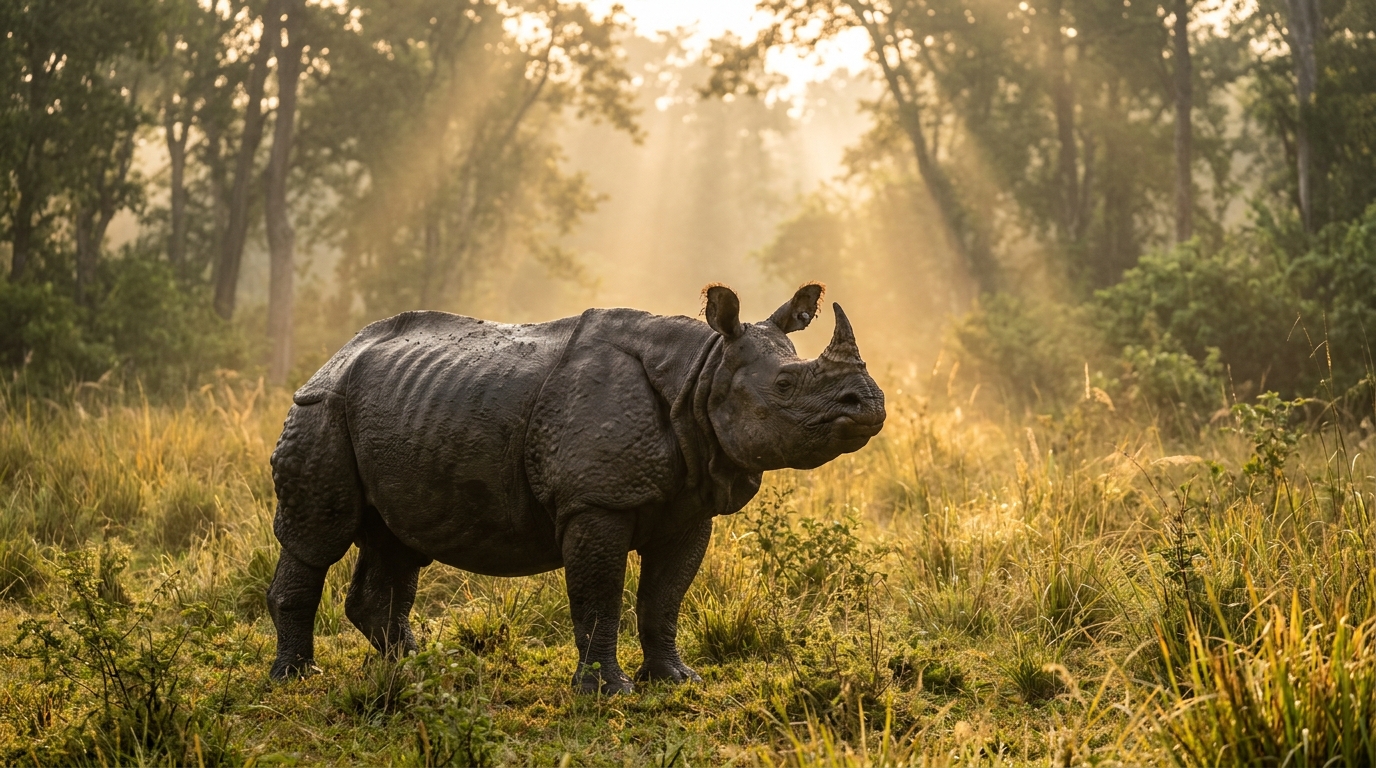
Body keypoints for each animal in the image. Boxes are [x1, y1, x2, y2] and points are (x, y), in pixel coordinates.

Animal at [266, 283, 885, 693]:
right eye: (784, 384)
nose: (871, 403)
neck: (704, 372)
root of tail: (334, 356)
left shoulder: (689, 506)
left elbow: (664, 597)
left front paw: (676, 679)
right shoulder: (595, 503)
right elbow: (599, 596)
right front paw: (607, 692)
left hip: (405, 407)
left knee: (398, 543)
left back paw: (422, 669)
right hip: (322, 408)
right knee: (318, 537)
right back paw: (297, 677)